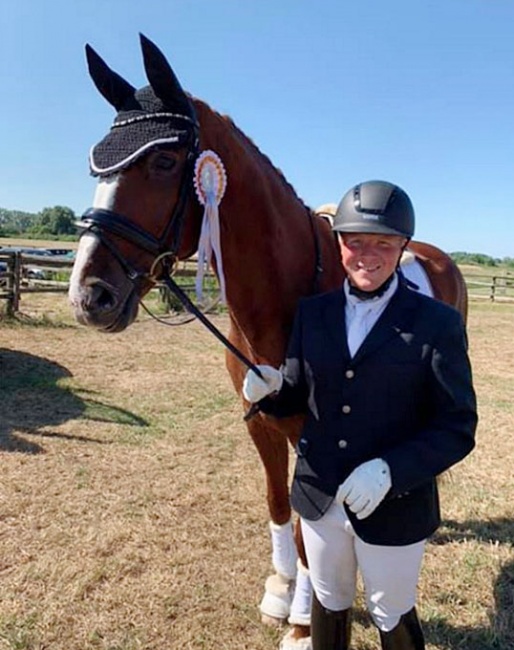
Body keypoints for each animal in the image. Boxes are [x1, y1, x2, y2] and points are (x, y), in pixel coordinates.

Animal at [69, 35, 468, 648]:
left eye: (163, 162)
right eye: (98, 162)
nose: (91, 296)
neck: (289, 292)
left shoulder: (312, 438)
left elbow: (310, 528)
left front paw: (303, 621)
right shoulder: (260, 417)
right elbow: (280, 505)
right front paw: (281, 590)